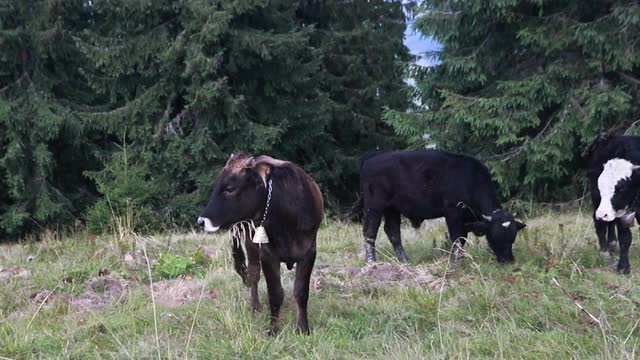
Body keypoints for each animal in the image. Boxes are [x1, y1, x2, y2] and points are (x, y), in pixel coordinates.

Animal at [196, 155, 324, 334]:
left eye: (230, 188)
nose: (201, 222)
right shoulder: (267, 254)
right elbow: (275, 293)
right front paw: (273, 329)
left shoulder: (309, 251)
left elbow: (301, 291)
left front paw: (303, 328)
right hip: (250, 242)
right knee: (253, 274)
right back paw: (255, 307)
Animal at [356, 149, 524, 264]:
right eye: (494, 236)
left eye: (512, 238)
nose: (508, 260)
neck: (471, 180)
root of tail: (372, 158)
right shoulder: (453, 214)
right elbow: (457, 238)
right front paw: (457, 261)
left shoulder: (465, 220)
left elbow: (462, 239)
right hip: (374, 207)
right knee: (370, 232)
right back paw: (371, 262)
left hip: (392, 209)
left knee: (393, 232)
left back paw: (405, 261)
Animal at [584, 135, 640, 272]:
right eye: (600, 186)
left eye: (622, 187)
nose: (602, 213)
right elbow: (625, 237)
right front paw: (623, 267)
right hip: (598, 204)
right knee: (600, 224)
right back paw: (605, 251)